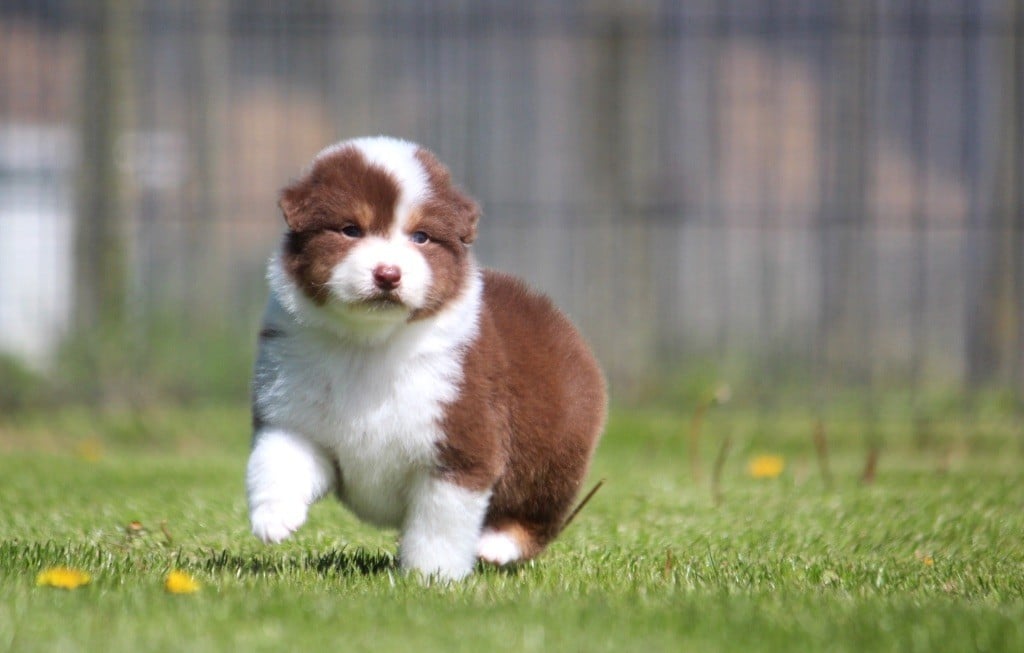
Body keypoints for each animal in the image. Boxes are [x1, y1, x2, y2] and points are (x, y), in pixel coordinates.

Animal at [246, 136, 606, 580]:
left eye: (420, 237)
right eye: (351, 230)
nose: (388, 274)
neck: (370, 344)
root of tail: (552, 314)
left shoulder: (458, 444)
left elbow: (439, 526)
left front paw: (430, 578)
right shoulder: (293, 412)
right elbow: (278, 459)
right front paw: (274, 519)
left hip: (555, 445)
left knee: (540, 509)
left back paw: (497, 546)